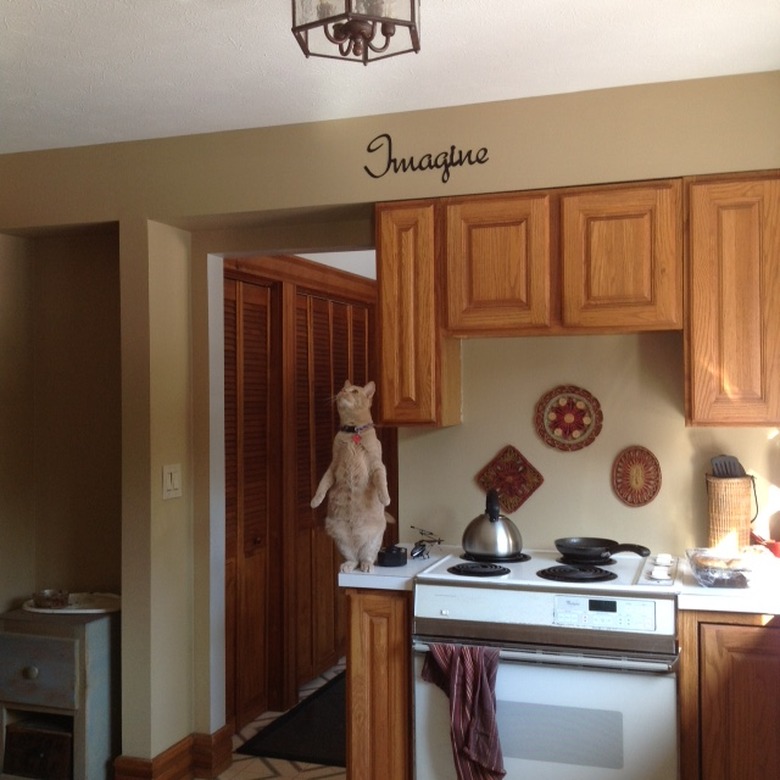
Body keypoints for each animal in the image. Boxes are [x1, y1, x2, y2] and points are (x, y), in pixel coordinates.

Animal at [310, 380, 394, 572]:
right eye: (342, 389)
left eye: (354, 391)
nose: (342, 392)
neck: (353, 431)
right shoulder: (333, 466)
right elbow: (322, 485)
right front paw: (315, 501)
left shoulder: (377, 465)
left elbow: (382, 482)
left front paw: (385, 499)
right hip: (341, 539)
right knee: (353, 557)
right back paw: (348, 565)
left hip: (373, 541)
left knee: (367, 556)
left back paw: (367, 565)